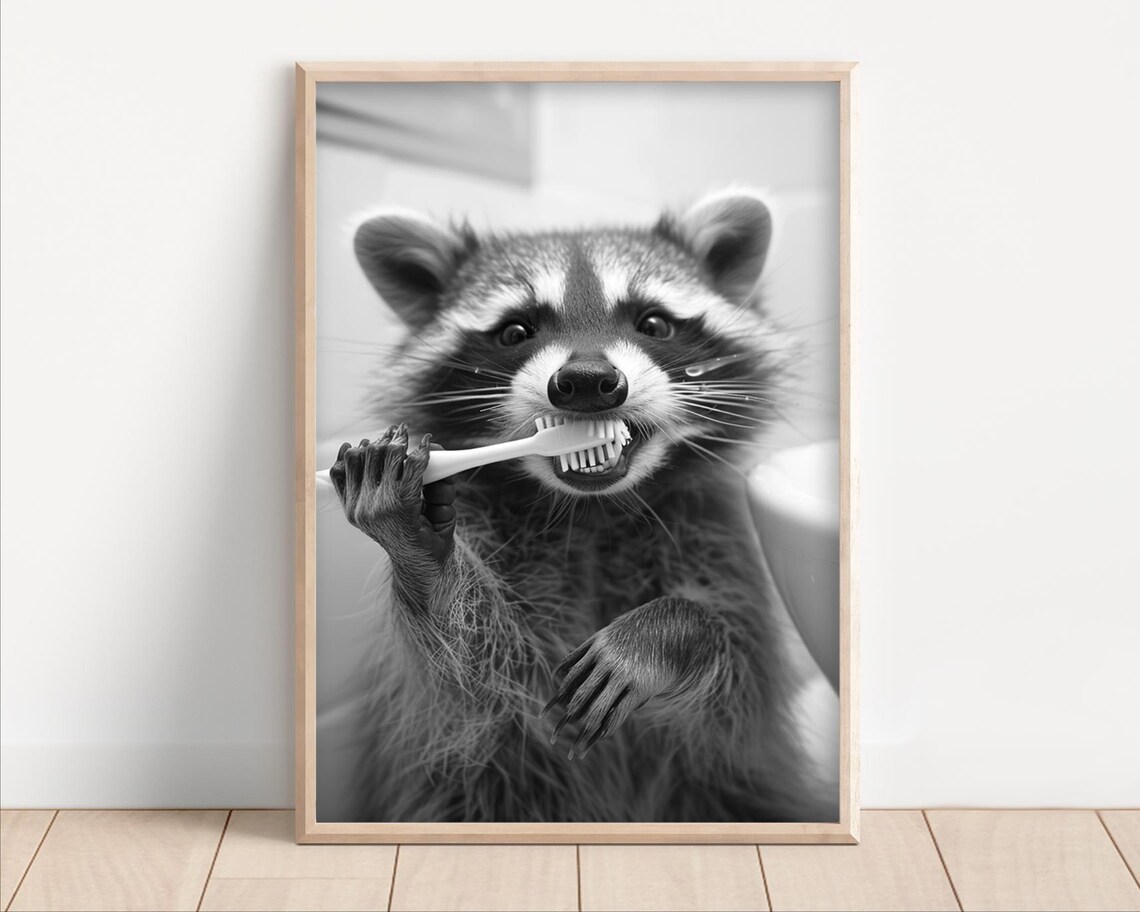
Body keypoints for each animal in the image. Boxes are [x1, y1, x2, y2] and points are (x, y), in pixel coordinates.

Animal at [328, 188, 834, 823]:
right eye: (515, 331)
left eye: (653, 323)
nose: (589, 380)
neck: (592, 510)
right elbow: (471, 678)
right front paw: (422, 554)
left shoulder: (718, 543)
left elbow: (734, 692)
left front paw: (669, 631)